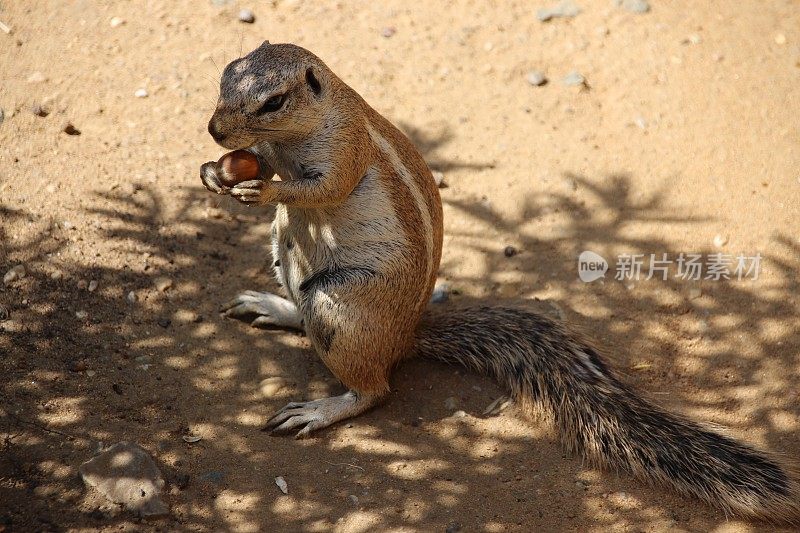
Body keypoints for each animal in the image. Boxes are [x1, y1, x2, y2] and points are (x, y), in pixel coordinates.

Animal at [202, 42, 800, 524]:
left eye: (273, 103)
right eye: (224, 74)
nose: (215, 130)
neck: (302, 129)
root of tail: (406, 334)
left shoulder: (345, 151)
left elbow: (318, 188)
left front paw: (262, 188)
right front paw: (214, 171)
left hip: (340, 304)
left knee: (374, 388)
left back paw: (319, 409)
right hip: (285, 253)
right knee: (304, 312)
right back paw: (273, 307)